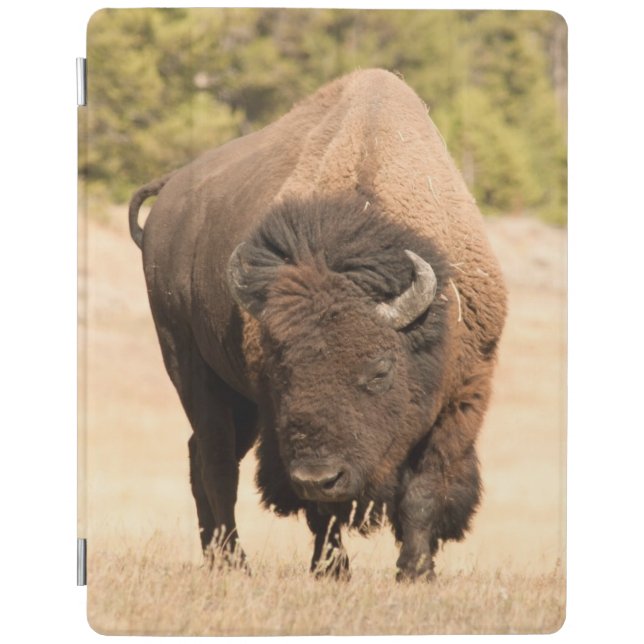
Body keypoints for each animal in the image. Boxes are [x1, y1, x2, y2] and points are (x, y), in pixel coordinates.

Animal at [129, 69, 507, 580]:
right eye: (282, 371)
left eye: (380, 371)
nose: (318, 476)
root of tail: (169, 192)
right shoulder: (280, 423)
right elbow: (322, 512)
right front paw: (332, 571)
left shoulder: (462, 397)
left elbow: (425, 490)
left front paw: (415, 572)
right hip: (190, 367)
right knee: (216, 463)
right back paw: (234, 563)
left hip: (239, 403)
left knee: (200, 457)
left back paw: (216, 558)